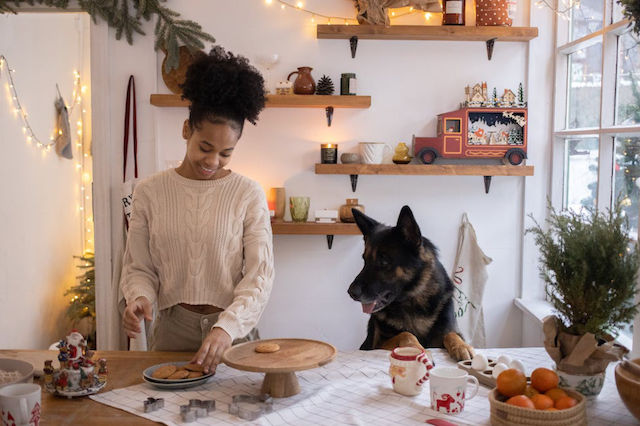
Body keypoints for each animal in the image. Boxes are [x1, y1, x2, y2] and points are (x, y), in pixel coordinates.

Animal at [344, 206, 476, 360]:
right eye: (365, 260)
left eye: (384, 261)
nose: (351, 292)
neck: (413, 299)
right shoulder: (376, 345)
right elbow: (406, 334)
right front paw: (415, 348)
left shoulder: (447, 332)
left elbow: (451, 334)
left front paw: (462, 346)